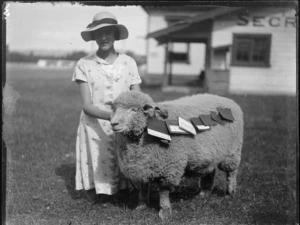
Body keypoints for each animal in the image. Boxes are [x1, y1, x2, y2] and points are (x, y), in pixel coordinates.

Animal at [110, 90, 244, 220]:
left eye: (134, 110)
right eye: (114, 109)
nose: (113, 123)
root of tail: (228, 100)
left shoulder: (169, 167)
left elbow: (164, 191)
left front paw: (164, 211)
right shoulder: (143, 167)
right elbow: (143, 187)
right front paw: (141, 206)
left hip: (233, 151)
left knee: (231, 172)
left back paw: (230, 192)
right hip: (211, 153)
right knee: (210, 170)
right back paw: (204, 192)